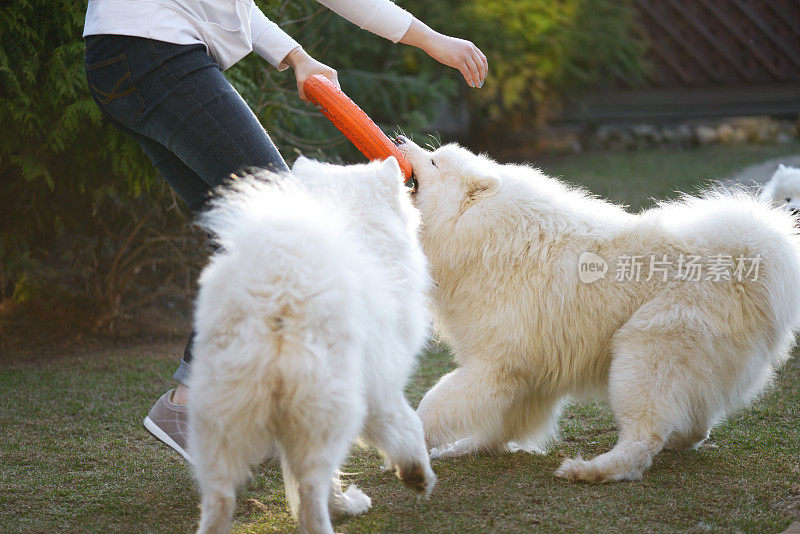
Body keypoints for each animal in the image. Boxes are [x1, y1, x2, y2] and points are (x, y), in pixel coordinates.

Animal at [188, 158, 438, 534]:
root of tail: (279, 295)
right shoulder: (381, 383)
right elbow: (408, 424)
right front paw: (418, 474)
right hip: (328, 412)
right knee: (311, 487)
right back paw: (338, 512)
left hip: (221, 419)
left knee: (220, 496)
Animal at [396, 138, 800, 486]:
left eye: (434, 162)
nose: (399, 141)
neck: (483, 232)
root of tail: (745, 267)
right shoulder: (524, 375)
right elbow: (499, 424)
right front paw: (464, 448)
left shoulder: (492, 366)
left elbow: (436, 405)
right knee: (694, 426)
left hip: (640, 360)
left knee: (641, 442)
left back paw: (589, 470)